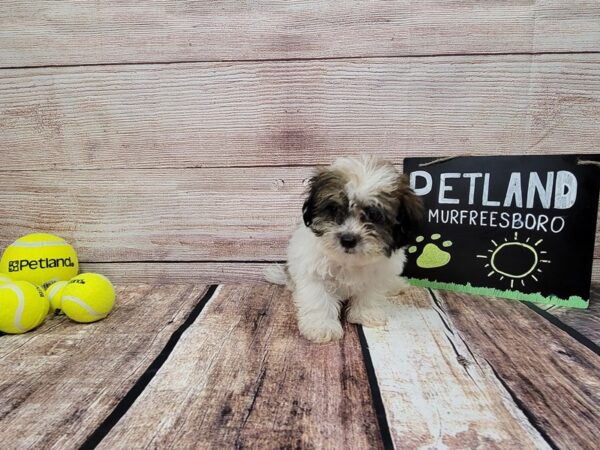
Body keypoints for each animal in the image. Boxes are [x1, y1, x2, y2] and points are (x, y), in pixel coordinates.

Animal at [264, 156, 424, 342]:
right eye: (333, 209)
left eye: (375, 215)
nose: (348, 239)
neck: (349, 261)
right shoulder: (314, 272)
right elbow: (318, 299)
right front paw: (321, 326)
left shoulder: (377, 275)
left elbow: (369, 294)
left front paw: (365, 314)